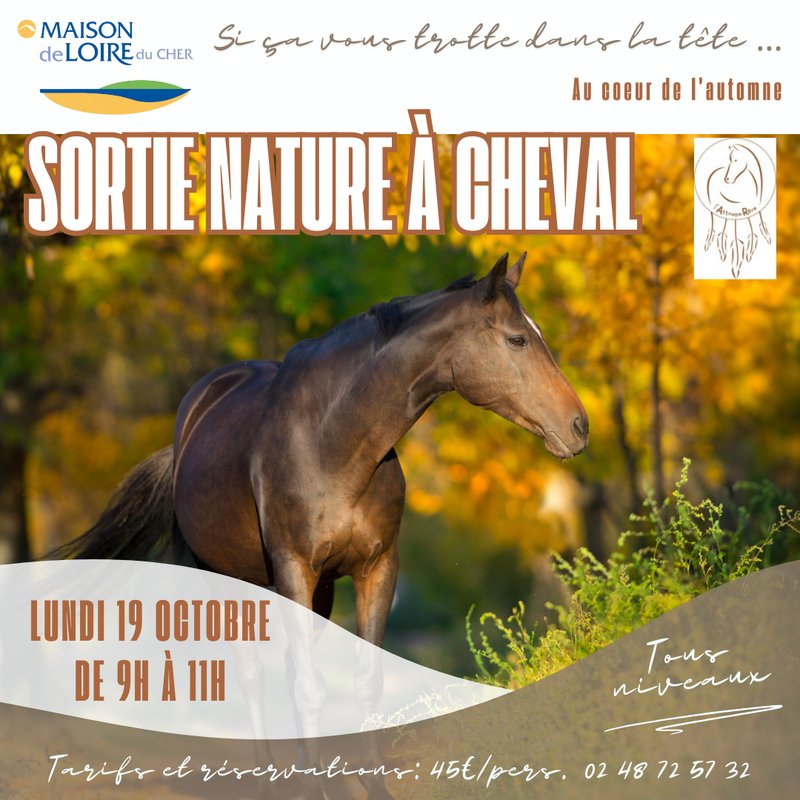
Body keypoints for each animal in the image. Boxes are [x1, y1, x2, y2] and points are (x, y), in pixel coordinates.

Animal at [52, 252, 588, 795]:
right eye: (517, 339)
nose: (579, 426)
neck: (334, 441)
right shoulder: (294, 568)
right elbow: (309, 685)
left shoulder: (376, 569)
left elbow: (364, 680)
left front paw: (367, 784)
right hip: (227, 578)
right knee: (250, 674)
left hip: (318, 589)